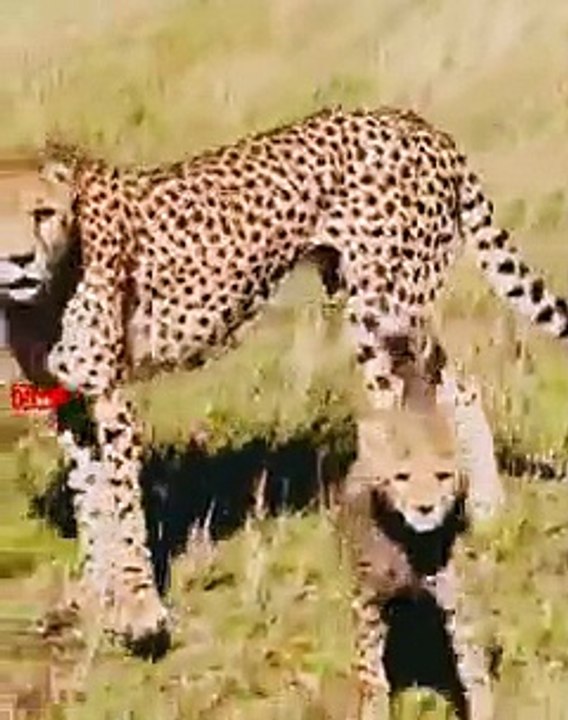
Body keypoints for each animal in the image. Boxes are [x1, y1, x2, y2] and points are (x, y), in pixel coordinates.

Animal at [0, 105, 566, 657]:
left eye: (42, 214)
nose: (19, 260)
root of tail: (415, 123)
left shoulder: (109, 400)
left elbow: (123, 509)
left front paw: (141, 611)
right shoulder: (70, 402)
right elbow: (90, 502)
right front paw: (99, 599)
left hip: (384, 312)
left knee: (408, 406)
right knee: (457, 386)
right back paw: (487, 511)